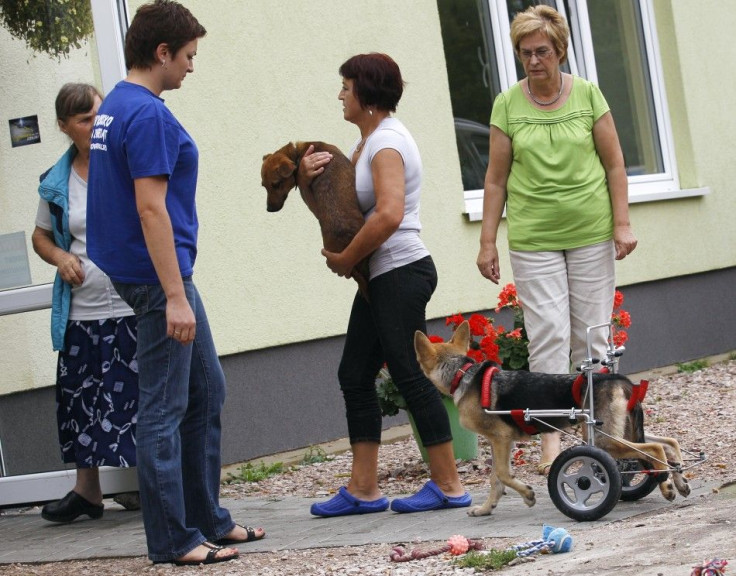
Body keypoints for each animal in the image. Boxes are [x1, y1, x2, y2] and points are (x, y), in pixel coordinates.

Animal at [416, 322, 692, 520]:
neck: (462, 374)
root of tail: (619, 379)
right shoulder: (501, 443)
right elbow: (496, 479)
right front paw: (486, 508)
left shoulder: (500, 438)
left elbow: (503, 474)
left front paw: (527, 495)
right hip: (621, 432)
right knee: (669, 444)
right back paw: (679, 481)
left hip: (602, 439)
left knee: (654, 450)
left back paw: (666, 484)